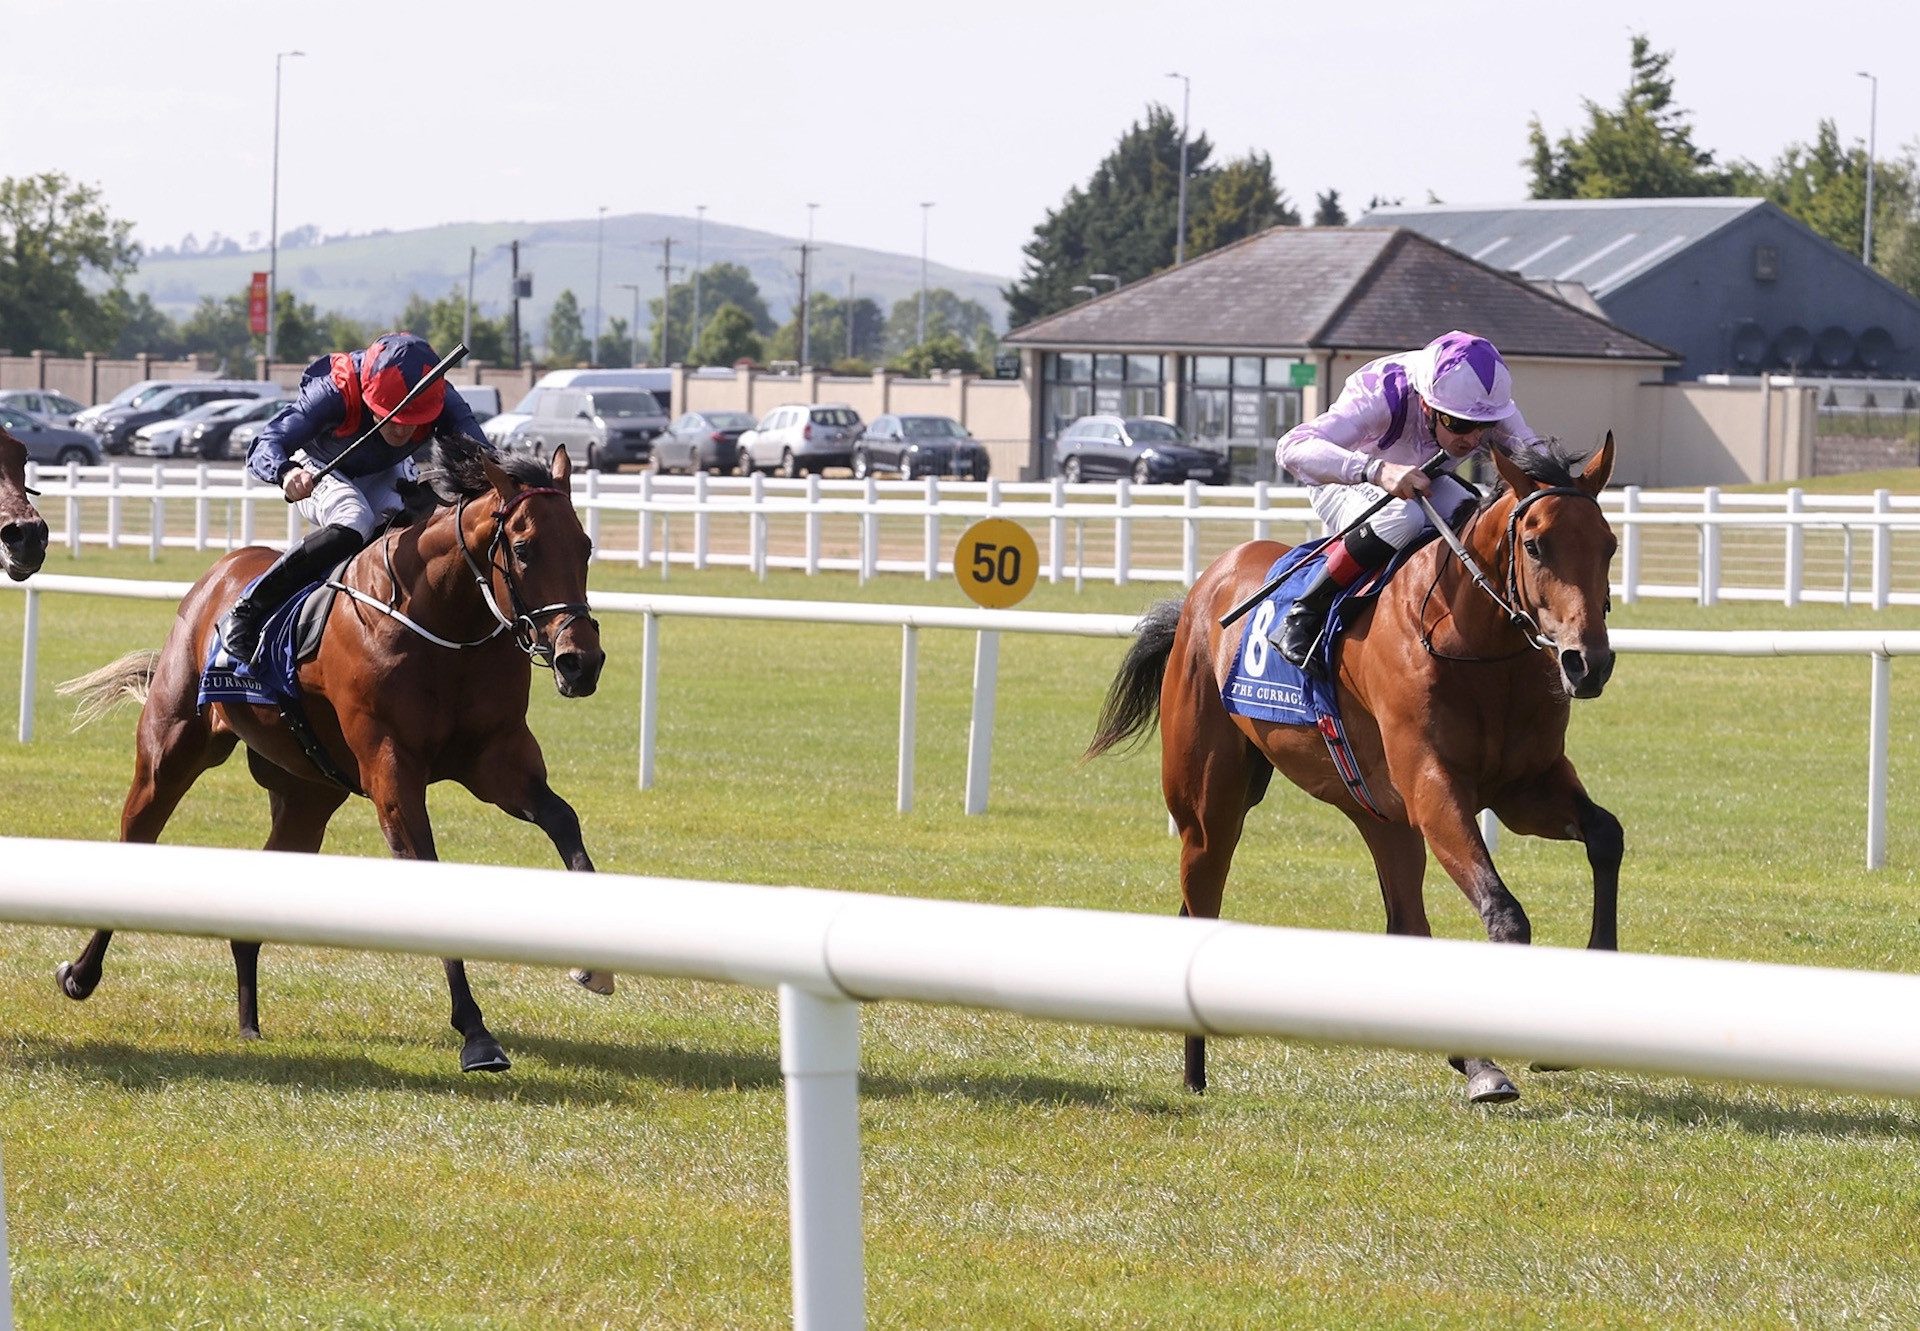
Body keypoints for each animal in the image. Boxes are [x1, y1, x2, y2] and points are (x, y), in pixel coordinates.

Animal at [54, 443, 606, 1067]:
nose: (580, 661)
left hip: (308, 794)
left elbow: (562, 818)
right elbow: (430, 872)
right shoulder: (392, 770)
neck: (441, 622)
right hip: (170, 752)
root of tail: (217, 576)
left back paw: (249, 1023)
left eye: (585, 545)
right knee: (137, 836)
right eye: (523, 548)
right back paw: (81, 973)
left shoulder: (497, 758)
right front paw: (476, 1034)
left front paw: (595, 967)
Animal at [1090, 435, 1612, 1098]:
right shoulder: (1434, 787)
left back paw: (1468, 1059)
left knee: (1406, 922)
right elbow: (1504, 912)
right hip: (1209, 806)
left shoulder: (1526, 785)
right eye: (1535, 545)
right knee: (1201, 895)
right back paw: (1195, 1074)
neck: (1467, 636)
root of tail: (1203, 588)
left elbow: (1606, 835)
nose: (1587, 663)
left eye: (1609, 544)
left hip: (1380, 815)